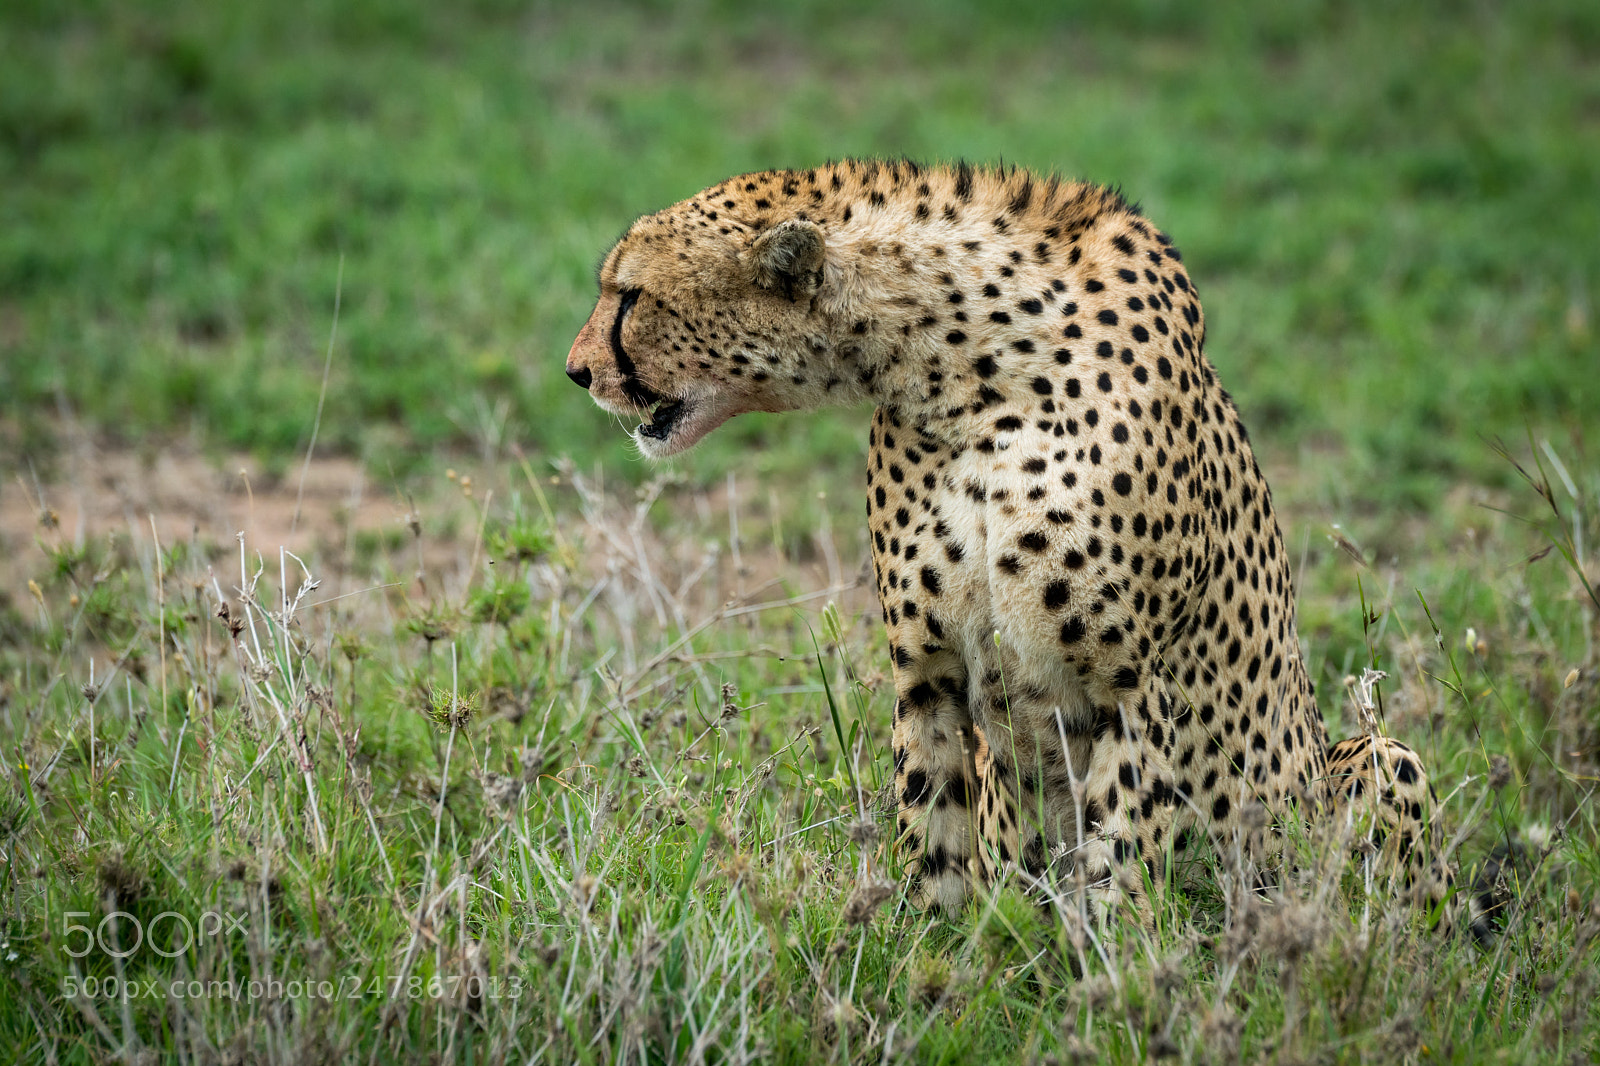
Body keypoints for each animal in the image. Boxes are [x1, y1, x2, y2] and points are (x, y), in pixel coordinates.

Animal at [565, 159, 1453, 927]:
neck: (964, 373)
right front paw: (931, 970)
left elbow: (1119, 867)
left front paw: (1114, 983)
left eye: (630, 296)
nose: (574, 372)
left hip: (1372, 761)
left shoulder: (1134, 688)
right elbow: (935, 841)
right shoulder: (927, 672)